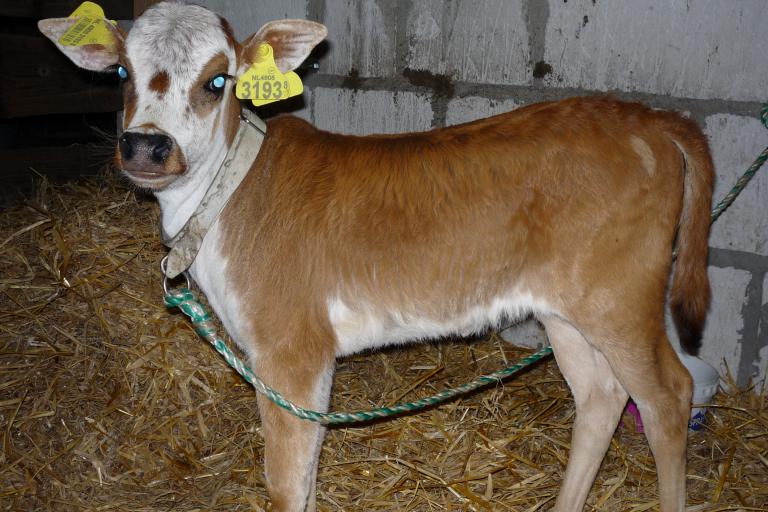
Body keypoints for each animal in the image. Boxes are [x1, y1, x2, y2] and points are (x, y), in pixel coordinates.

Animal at [40, 2, 712, 510]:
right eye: (122, 72)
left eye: (218, 81)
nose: (146, 148)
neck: (228, 193)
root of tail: (652, 118)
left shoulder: (291, 350)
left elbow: (286, 484)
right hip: (566, 310)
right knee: (601, 397)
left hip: (621, 297)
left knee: (668, 395)